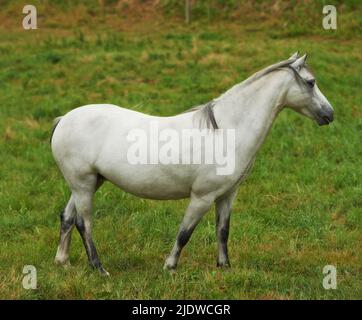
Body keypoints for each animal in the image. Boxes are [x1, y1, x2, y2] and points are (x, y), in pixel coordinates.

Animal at [51, 51, 334, 274]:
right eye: (311, 82)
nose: (329, 114)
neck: (227, 130)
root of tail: (64, 119)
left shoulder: (227, 194)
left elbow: (222, 230)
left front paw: (224, 267)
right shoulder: (202, 197)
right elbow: (185, 232)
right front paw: (170, 266)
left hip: (88, 183)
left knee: (67, 217)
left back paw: (63, 262)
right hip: (83, 184)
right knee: (84, 223)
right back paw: (99, 268)